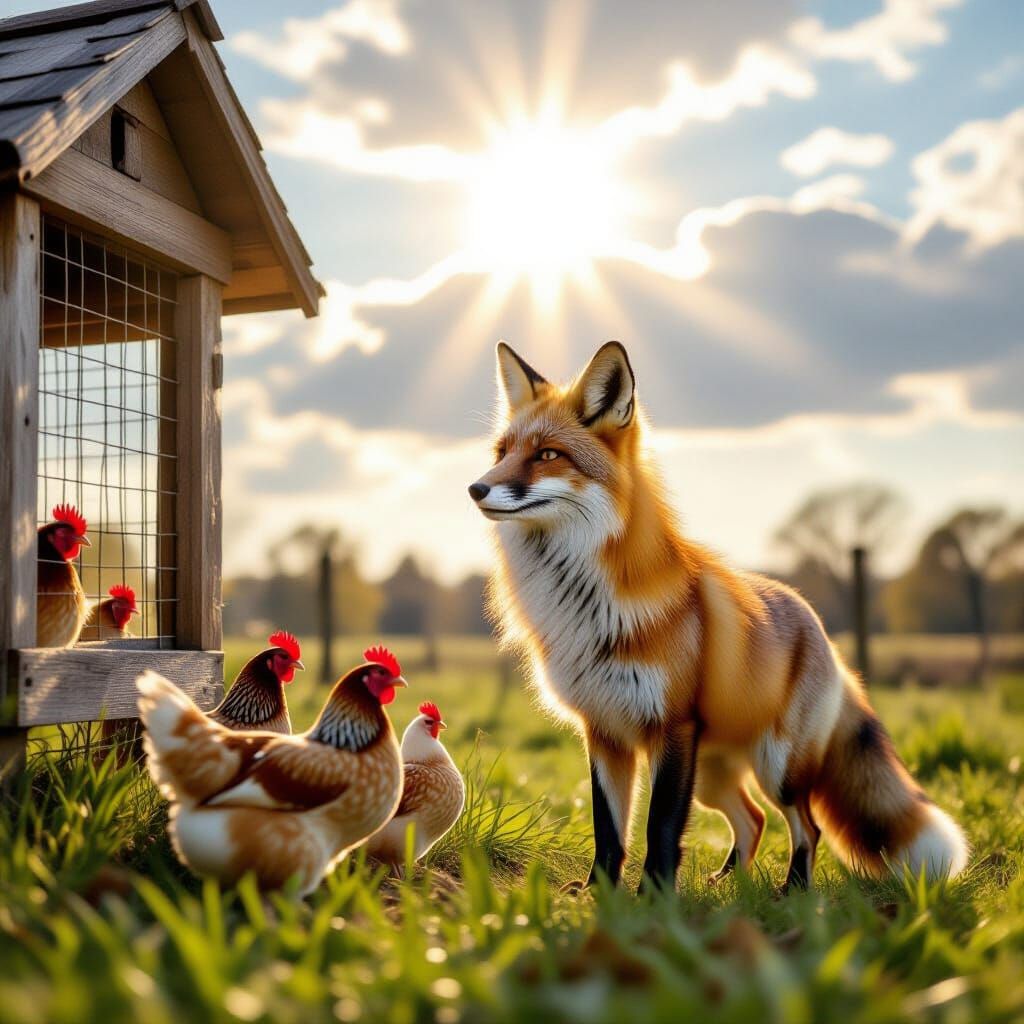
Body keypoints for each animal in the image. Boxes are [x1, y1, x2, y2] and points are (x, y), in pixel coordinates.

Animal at [468, 340, 968, 892]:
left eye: (548, 455)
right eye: (501, 453)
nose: (475, 489)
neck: (586, 605)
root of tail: (819, 628)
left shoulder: (671, 728)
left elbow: (661, 827)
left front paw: (655, 899)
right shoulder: (603, 732)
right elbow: (609, 829)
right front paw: (599, 894)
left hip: (777, 769)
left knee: (806, 826)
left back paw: (792, 892)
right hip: (712, 774)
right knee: (754, 819)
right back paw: (729, 883)